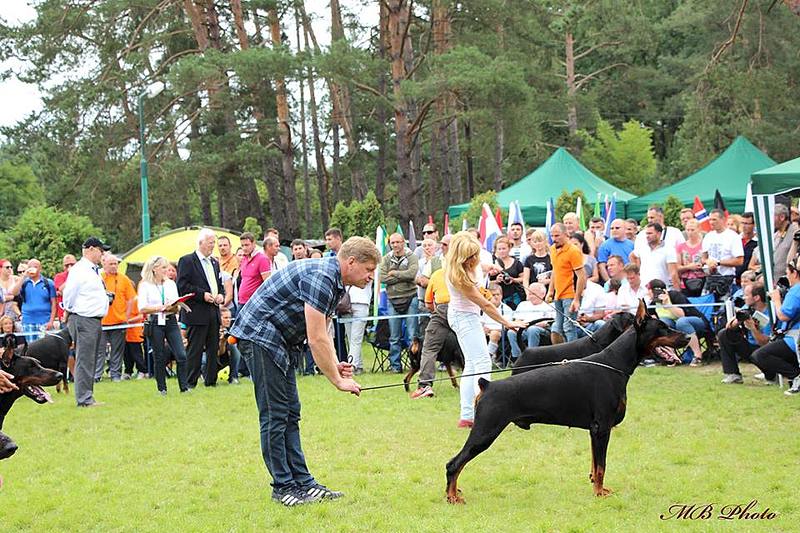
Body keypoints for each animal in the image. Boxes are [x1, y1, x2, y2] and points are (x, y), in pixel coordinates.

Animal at [444, 302, 688, 500]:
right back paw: (452, 496)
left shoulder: (594, 430)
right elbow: (602, 465)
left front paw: (597, 487)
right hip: (486, 430)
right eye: (662, 328)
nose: (687, 337)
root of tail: (487, 384)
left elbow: (595, 464)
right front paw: (599, 493)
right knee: (454, 463)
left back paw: (455, 492)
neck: (615, 363)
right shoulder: (602, 427)